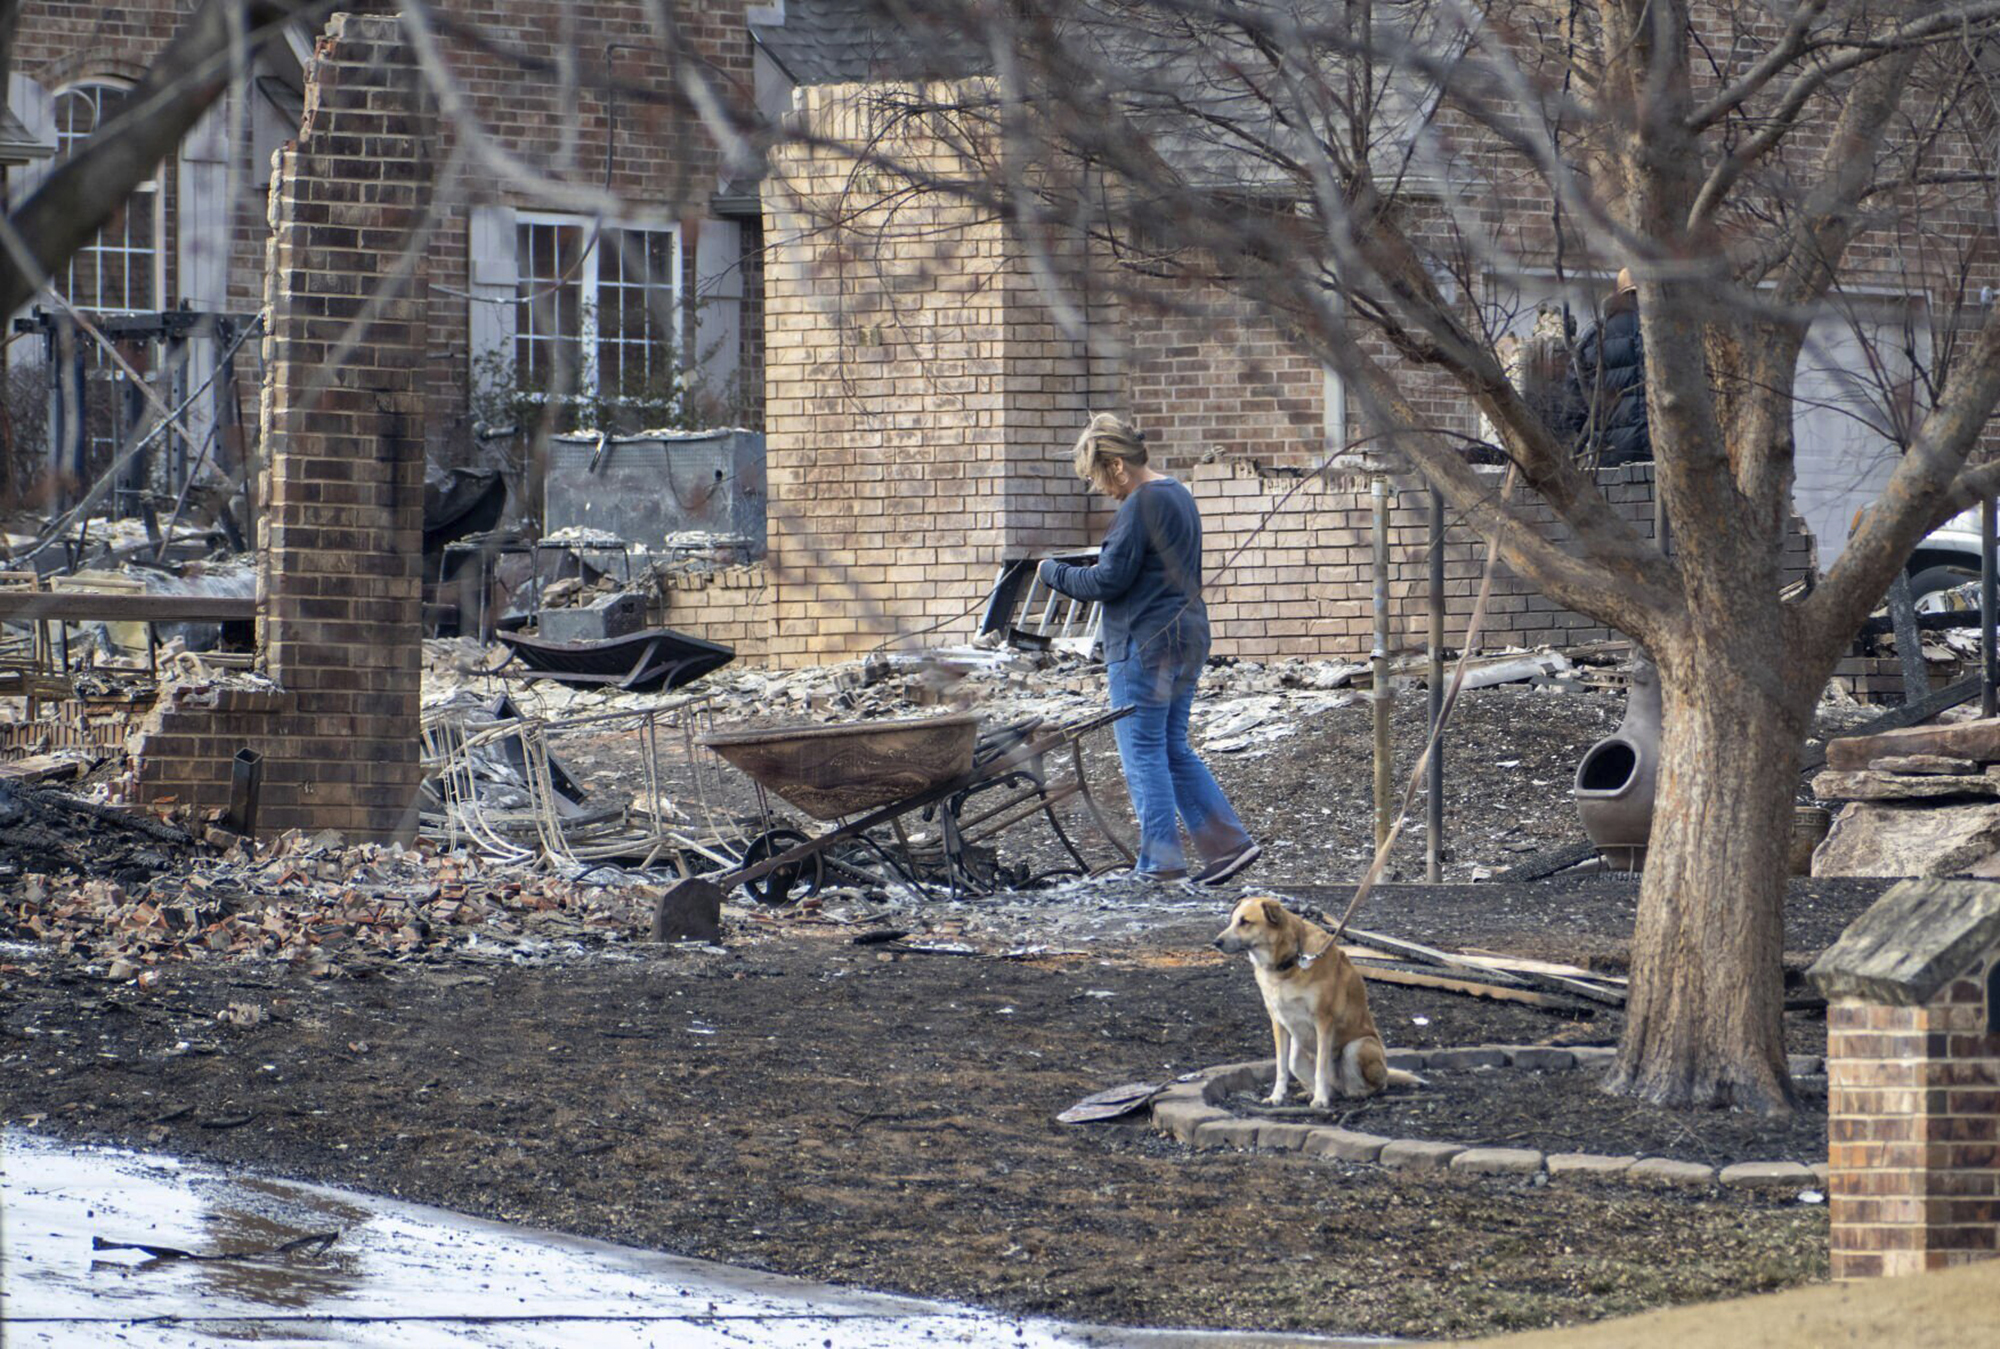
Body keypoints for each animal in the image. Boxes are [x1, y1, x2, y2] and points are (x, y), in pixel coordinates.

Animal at [1200, 892, 1424, 1104]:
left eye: (1245, 921)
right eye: (1231, 921)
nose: (1216, 942)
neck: (1289, 963)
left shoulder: (1323, 1021)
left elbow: (1320, 1069)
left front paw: (1320, 1100)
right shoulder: (1278, 1022)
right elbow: (1281, 1068)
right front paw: (1276, 1097)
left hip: (1358, 1047)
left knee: (1375, 1085)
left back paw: (1353, 1093)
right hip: (1297, 1056)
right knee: (1323, 1082)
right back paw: (1312, 1093)